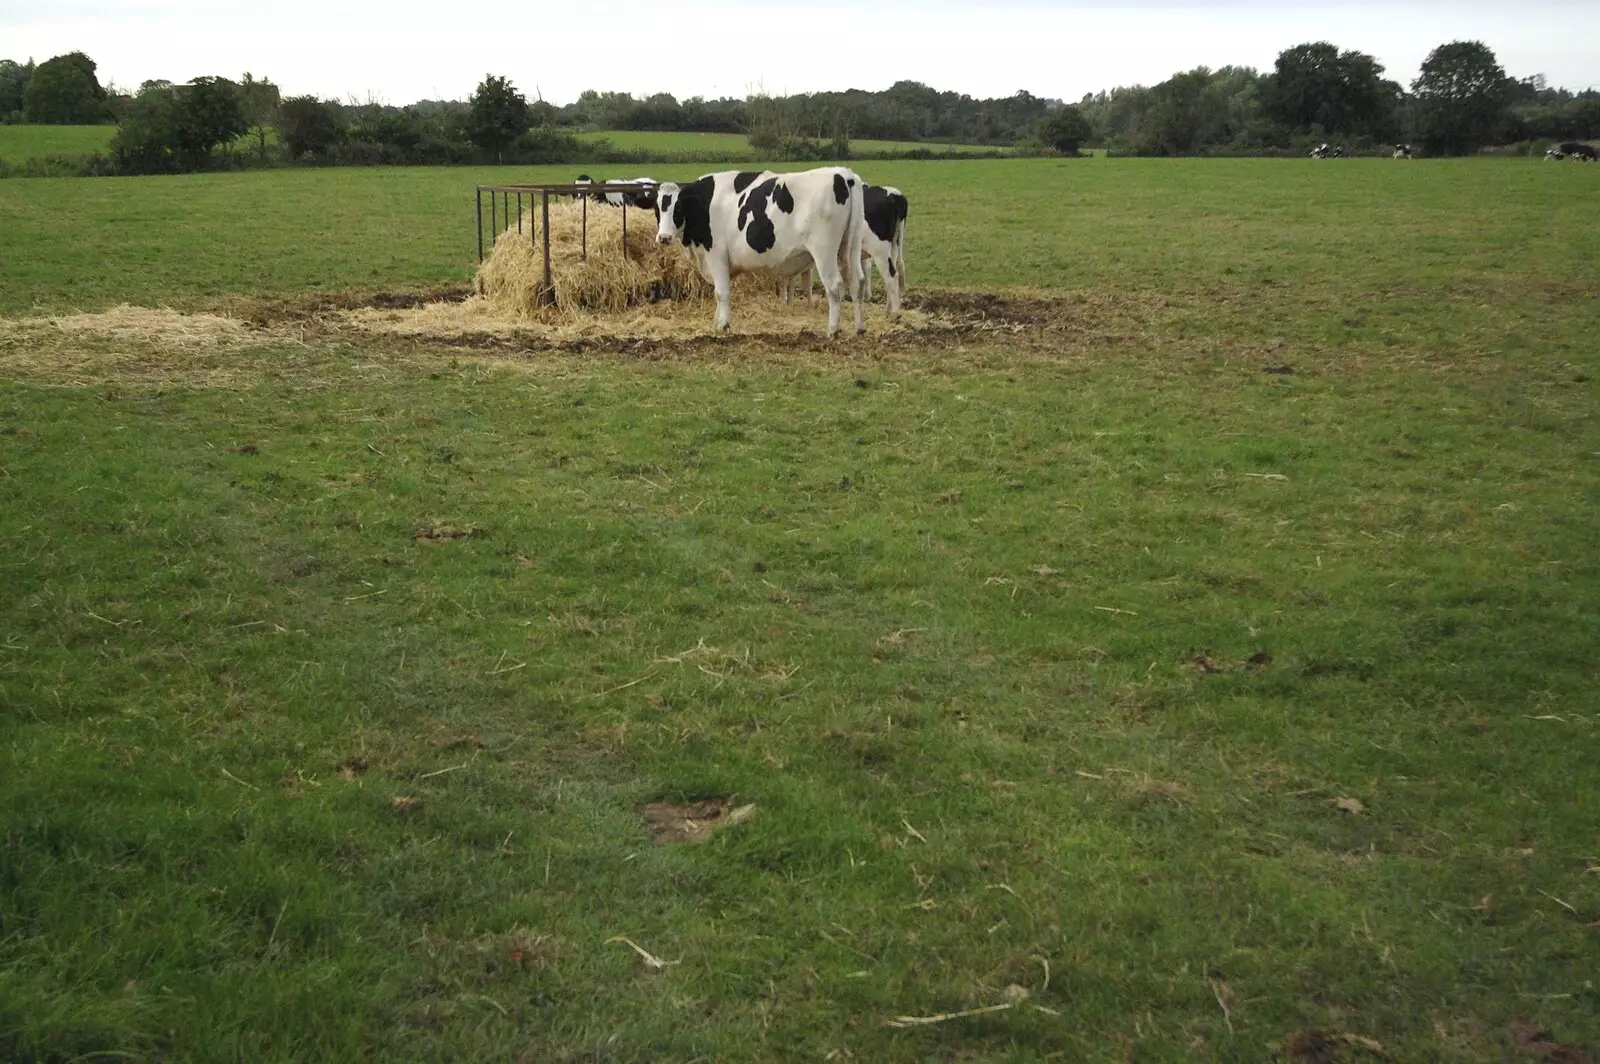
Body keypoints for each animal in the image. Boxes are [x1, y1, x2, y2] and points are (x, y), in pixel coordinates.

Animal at [656, 166, 870, 334]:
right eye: (657, 209)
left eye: (678, 207)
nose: (664, 237)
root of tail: (843, 173)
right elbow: (718, 291)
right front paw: (717, 320)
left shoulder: (716, 254)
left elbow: (721, 292)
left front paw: (723, 325)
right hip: (851, 246)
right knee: (856, 282)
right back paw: (859, 328)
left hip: (824, 251)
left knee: (834, 286)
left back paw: (833, 329)